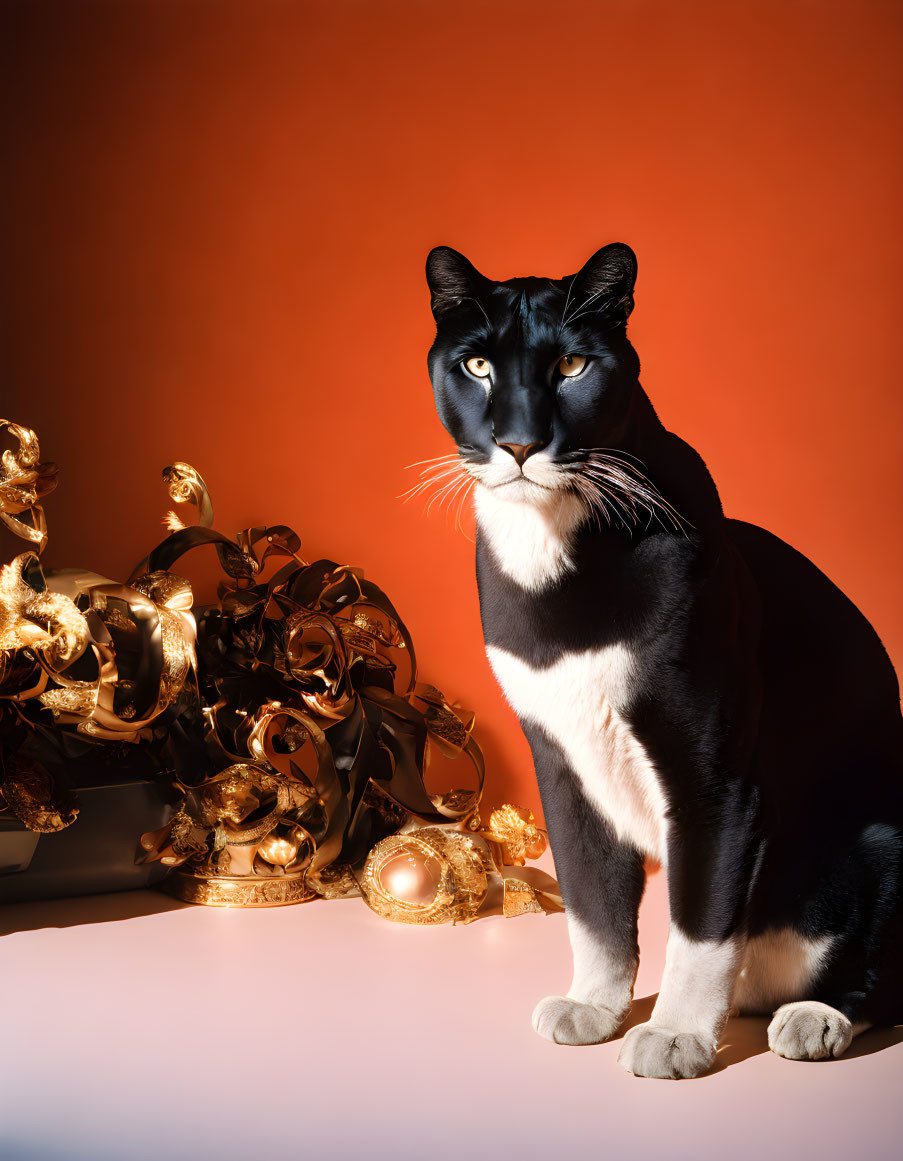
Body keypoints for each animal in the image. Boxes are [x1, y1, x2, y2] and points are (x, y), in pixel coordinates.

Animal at [424, 242, 900, 1077]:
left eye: (572, 365)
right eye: (477, 365)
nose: (517, 442)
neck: (555, 557)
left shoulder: (713, 781)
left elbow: (699, 921)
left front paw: (674, 1034)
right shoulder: (563, 768)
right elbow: (593, 901)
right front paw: (593, 1005)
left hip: (879, 840)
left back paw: (813, 1019)